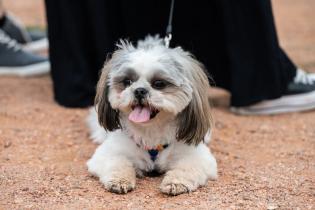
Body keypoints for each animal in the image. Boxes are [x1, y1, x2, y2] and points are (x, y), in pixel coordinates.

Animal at [87, 35, 218, 195]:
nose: (139, 90)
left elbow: (187, 168)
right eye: (127, 81)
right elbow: (118, 163)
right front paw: (120, 180)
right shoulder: (108, 153)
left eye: (159, 83)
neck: (151, 131)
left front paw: (175, 182)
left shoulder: (197, 156)